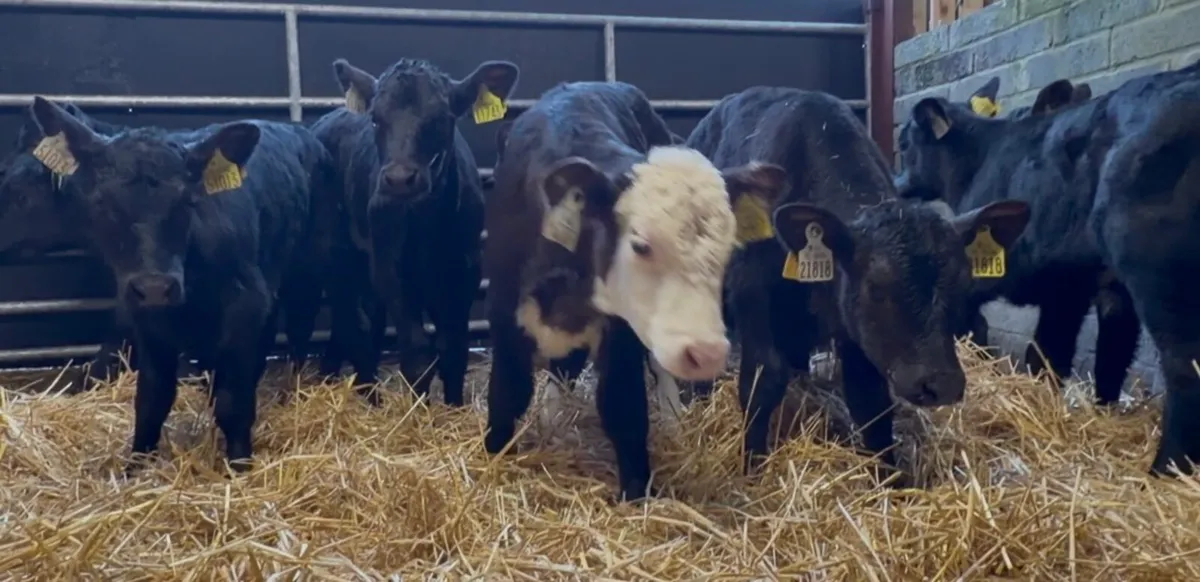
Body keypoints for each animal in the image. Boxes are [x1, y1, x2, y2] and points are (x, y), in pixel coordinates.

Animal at [25, 97, 332, 472]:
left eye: (187, 201)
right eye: (101, 203)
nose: (156, 287)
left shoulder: (246, 306)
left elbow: (233, 398)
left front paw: (239, 463)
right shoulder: (148, 320)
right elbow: (152, 398)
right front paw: (135, 466)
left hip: (307, 270)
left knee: (300, 329)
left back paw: (293, 389)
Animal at [309, 57, 517, 406]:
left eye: (441, 119)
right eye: (376, 120)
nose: (398, 179)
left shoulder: (465, 270)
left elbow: (453, 349)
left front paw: (454, 408)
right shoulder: (390, 270)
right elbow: (418, 354)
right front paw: (420, 410)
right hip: (333, 253)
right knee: (355, 325)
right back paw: (371, 399)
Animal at [483, 80, 788, 501]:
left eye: (728, 249)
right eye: (640, 245)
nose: (706, 353)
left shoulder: (621, 333)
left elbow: (623, 408)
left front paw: (636, 491)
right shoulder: (504, 316)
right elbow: (507, 395)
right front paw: (496, 456)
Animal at [686, 86, 1030, 484]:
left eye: (961, 286)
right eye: (876, 287)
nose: (940, 382)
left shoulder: (855, 332)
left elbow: (871, 402)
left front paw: (888, 479)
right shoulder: (752, 295)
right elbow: (762, 379)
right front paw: (752, 469)